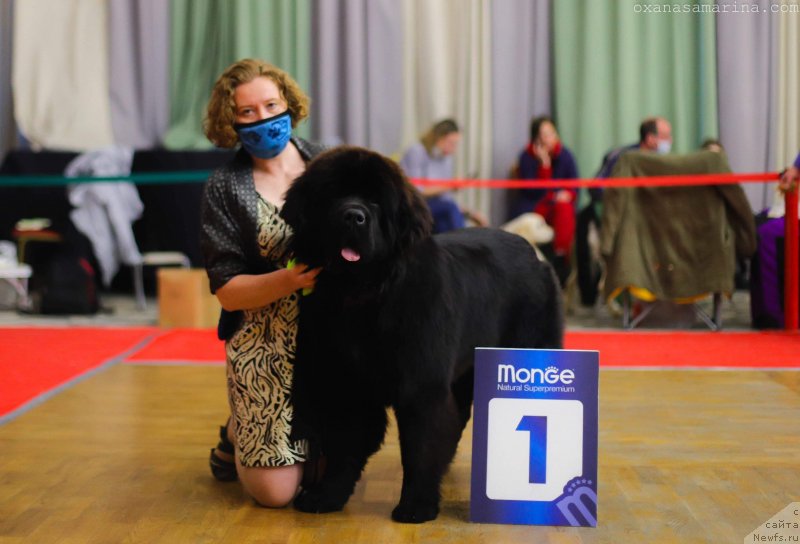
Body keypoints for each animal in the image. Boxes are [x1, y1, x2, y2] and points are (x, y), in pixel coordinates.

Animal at [282, 146, 564, 524]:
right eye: (334, 195)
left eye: (375, 201)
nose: (353, 216)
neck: (365, 296)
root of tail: (534, 255)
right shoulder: (348, 383)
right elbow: (345, 443)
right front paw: (327, 495)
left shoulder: (421, 384)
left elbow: (420, 446)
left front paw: (416, 505)